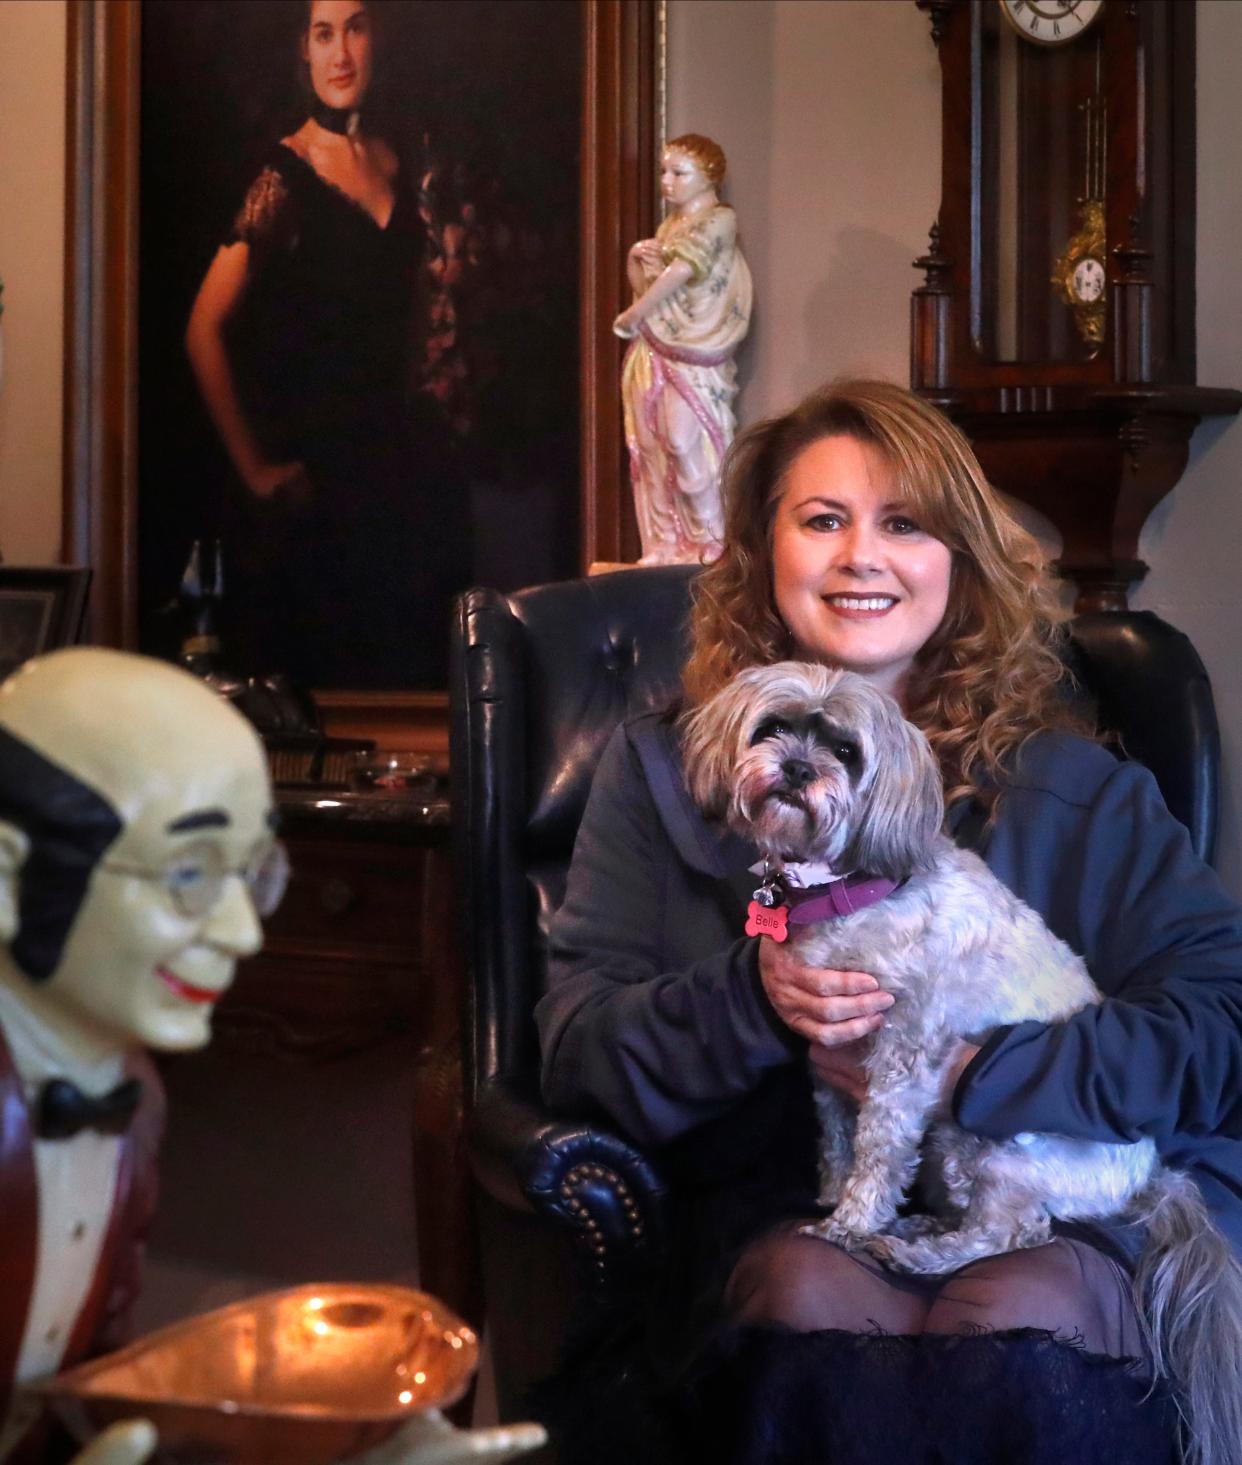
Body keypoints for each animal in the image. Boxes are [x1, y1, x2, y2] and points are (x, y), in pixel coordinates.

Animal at [685, 662, 1236, 1465]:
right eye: (773, 727)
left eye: (846, 751)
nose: (797, 769)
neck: (851, 887)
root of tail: (1148, 1174)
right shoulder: (829, 1058)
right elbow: (839, 1139)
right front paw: (832, 1195)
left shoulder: (904, 1061)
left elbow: (879, 1149)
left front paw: (849, 1221)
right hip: (951, 1146)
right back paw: (919, 1230)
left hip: (999, 1150)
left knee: (1015, 1234)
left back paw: (919, 1254)